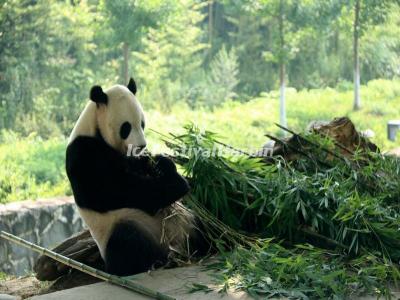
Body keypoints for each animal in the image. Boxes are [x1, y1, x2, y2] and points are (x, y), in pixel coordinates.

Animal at [66, 78, 206, 276]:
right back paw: (153, 262)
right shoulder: (84, 154)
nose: (141, 146)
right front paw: (176, 181)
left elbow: (141, 166)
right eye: (126, 127)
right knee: (126, 242)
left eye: (142, 123)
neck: (95, 129)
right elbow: (115, 191)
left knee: (199, 225)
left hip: (184, 221)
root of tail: (171, 247)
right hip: (123, 225)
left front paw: (162, 162)